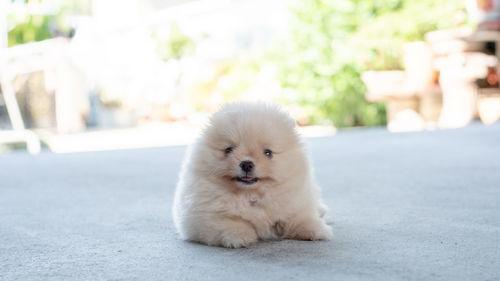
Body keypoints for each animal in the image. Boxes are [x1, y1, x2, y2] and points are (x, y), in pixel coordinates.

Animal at [172, 103, 332, 247]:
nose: (246, 164)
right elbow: (228, 222)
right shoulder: (200, 216)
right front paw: (239, 237)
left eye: (268, 153)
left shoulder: (296, 203)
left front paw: (317, 230)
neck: (251, 195)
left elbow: (299, 218)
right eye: (228, 150)